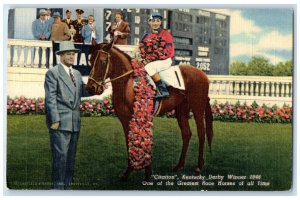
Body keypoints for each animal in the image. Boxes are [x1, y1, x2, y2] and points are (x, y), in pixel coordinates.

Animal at [86, 40, 213, 181]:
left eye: (103, 61)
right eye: (90, 60)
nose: (91, 88)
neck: (128, 84)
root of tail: (203, 74)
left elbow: (145, 140)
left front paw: (147, 174)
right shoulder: (125, 119)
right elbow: (128, 142)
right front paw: (128, 172)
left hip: (198, 108)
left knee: (201, 133)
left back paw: (199, 166)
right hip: (181, 110)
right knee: (186, 134)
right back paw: (179, 165)